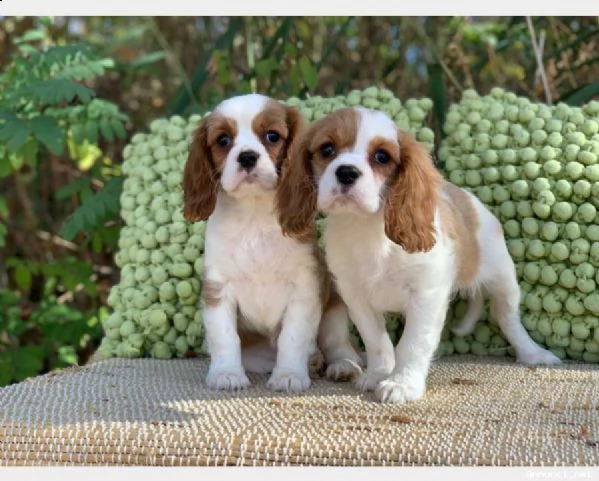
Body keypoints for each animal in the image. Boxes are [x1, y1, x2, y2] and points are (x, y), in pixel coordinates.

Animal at [183, 94, 364, 394]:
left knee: (338, 345)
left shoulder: (304, 289)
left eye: (272, 136)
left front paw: (289, 375)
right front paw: (227, 374)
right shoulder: (218, 289)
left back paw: (342, 367)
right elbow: (224, 337)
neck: (254, 215)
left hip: (334, 313)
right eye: (223, 140)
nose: (247, 157)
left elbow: (292, 337)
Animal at [276, 107, 564, 404]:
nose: (346, 172)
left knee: (507, 318)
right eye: (327, 149)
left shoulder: (426, 295)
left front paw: (402, 383)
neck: (367, 228)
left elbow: (413, 344)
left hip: (503, 279)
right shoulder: (356, 297)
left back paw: (533, 353)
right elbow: (377, 341)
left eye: (382, 157)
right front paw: (379, 374)